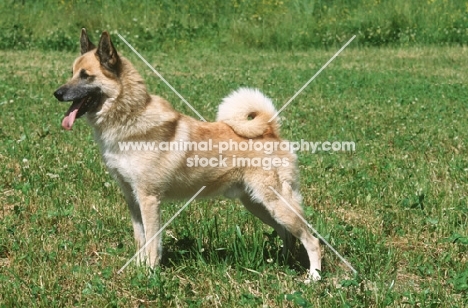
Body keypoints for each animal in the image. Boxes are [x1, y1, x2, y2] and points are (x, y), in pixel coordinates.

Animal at [52, 29, 322, 282]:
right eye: (72, 72)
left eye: (86, 75)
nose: (57, 93)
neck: (130, 117)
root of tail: (269, 130)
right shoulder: (132, 198)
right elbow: (140, 239)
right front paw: (138, 269)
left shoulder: (149, 199)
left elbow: (152, 243)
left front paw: (150, 273)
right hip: (257, 204)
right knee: (288, 235)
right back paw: (283, 263)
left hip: (275, 203)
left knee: (312, 240)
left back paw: (313, 277)